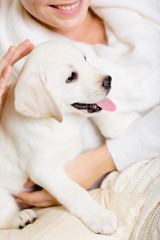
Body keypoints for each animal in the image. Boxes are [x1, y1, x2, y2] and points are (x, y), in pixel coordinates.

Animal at [0, 40, 117, 233]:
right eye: (71, 77)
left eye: (85, 59)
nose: (108, 80)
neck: (65, 123)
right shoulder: (44, 170)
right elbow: (74, 192)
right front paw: (101, 217)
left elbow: (105, 115)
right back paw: (20, 217)